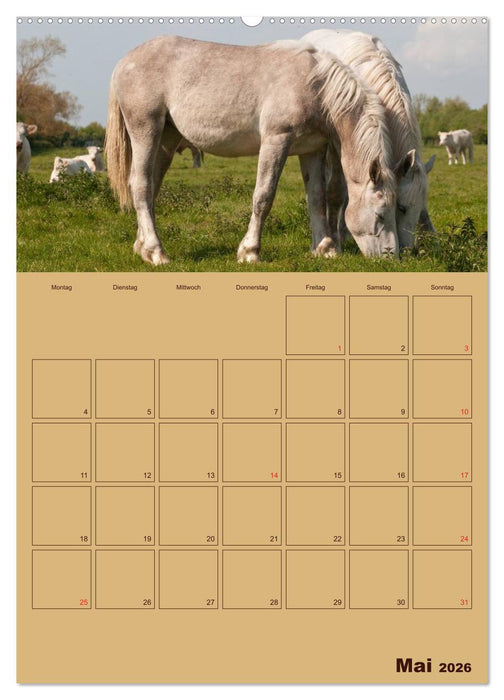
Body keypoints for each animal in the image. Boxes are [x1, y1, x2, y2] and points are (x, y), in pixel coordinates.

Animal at [105, 35, 400, 265]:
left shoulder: (312, 150)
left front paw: (324, 249)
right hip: (145, 129)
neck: (315, 85)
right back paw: (156, 253)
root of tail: (124, 62)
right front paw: (250, 252)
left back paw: (142, 247)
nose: (392, 257)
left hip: (166, 139)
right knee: (140, 185)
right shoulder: (275, 141)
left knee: (151, 187)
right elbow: (263, 196)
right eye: (380, 214)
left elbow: (316, 198)